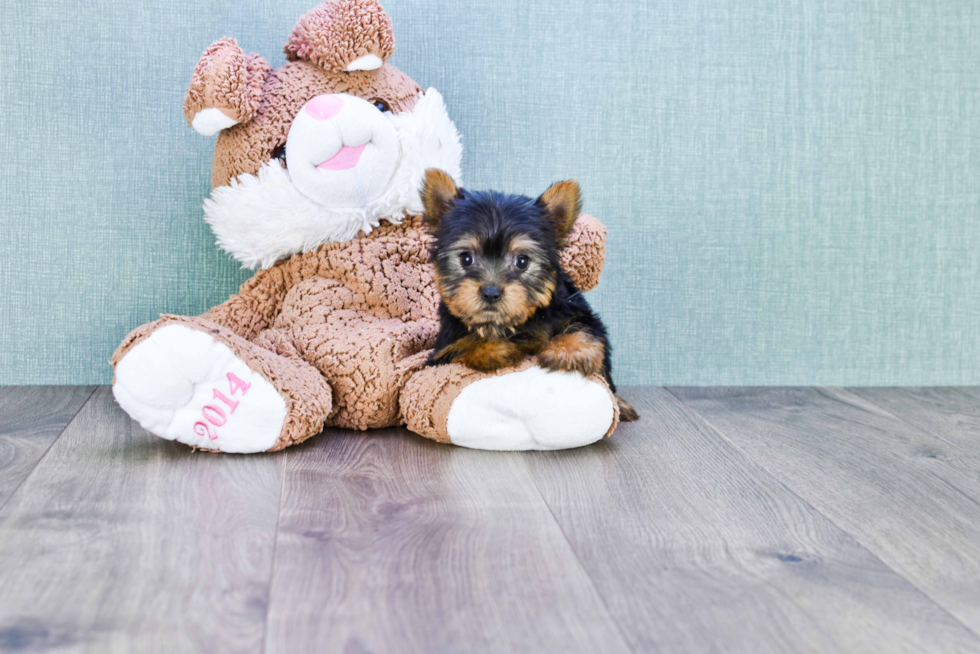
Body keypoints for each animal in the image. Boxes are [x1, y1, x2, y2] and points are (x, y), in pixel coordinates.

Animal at [424, 169, 644, 422]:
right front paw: (492, 348)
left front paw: (569, 351)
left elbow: (584, 327)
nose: (491, 292)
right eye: (466, 258)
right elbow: (461, 347)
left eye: (522, 261)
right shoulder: (441, 352)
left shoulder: (574, 309)